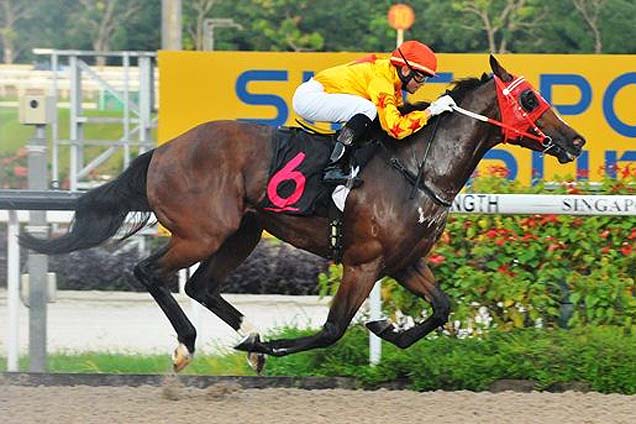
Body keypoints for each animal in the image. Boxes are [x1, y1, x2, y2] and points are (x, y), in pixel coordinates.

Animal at [19, 55, 588, 372]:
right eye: (531, 98)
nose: (576, 141)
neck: (417, 169)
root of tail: (163, 149)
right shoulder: (362, 262)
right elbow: (333, 329)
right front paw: (280, 347)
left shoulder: (405, 261)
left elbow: (443, 308)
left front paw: (388, 331)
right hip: (203, 231)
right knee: (149, 272)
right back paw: (190, 345)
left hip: (243, 232)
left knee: (201, 285)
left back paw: (248, 337)